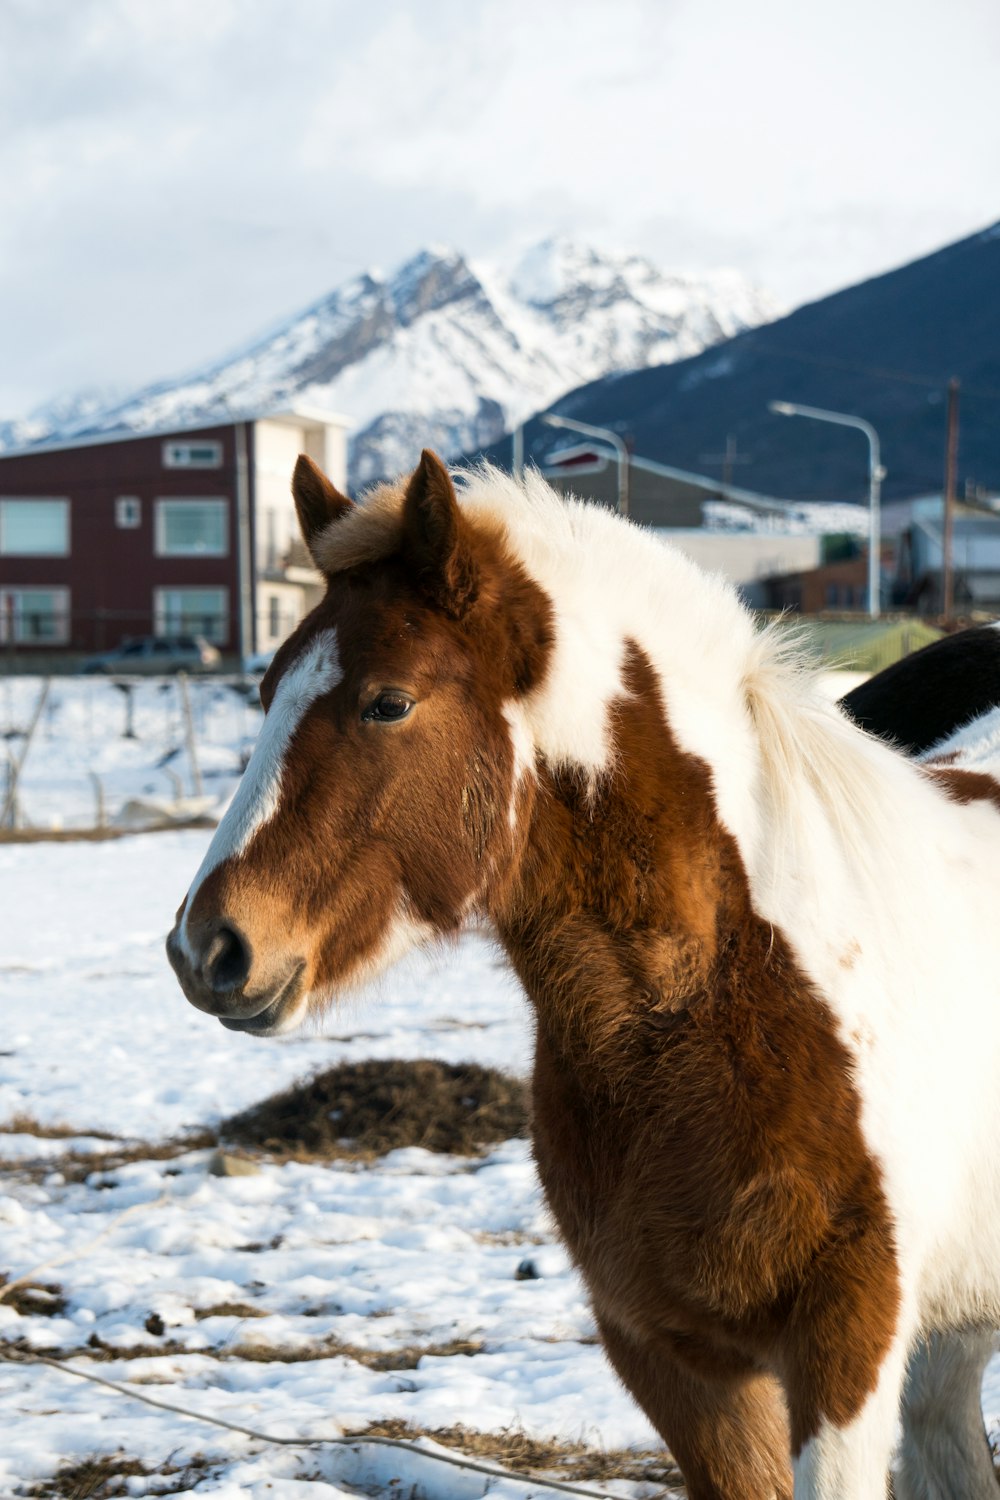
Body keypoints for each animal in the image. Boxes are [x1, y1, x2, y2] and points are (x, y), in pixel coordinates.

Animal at [167, 447, 1000, 1500]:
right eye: (267, 688)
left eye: (388, 701)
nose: (209, 948)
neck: (724, 1001)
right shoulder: (671, 1357)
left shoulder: (848, 1349)